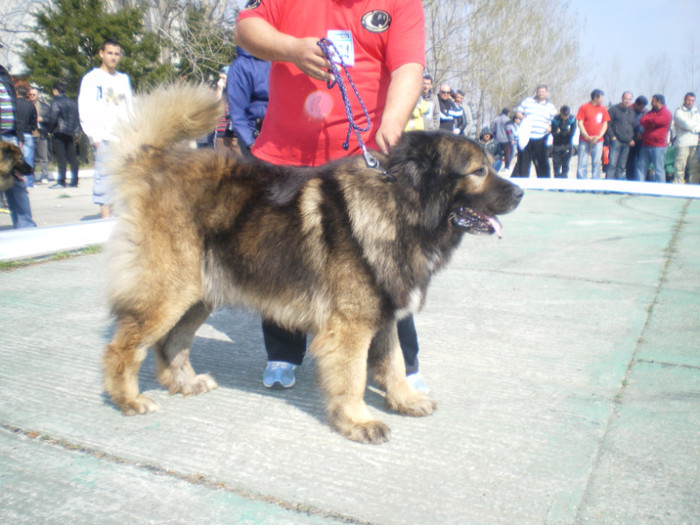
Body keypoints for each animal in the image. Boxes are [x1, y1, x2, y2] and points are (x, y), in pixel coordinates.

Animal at [102, 85, 520, 442]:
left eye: (491, 165)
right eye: (478, 171)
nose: (520, 192)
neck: (401, 204)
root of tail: (153, 163)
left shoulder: (383, 315)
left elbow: (395, 363)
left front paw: (404, 399)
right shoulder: (351, 326)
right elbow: (353, 377)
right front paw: (359, 421)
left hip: (199, 296)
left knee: (172, 343)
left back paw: (185, 384)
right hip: (168, 293)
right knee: (124, 347)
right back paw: (129, 400)